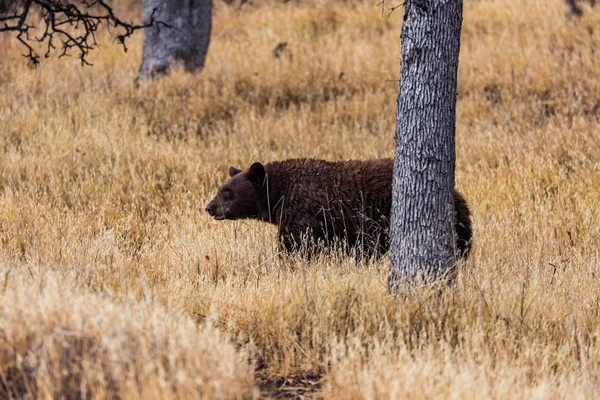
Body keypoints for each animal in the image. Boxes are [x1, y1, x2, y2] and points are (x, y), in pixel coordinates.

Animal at [206, 158, 474, 260]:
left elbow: (297, 245)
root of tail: (457, 195)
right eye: (220, 188)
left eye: (226, 191)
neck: (278, 196)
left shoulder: (303, 213)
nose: (210, 207)